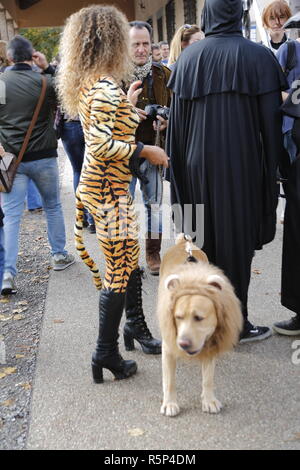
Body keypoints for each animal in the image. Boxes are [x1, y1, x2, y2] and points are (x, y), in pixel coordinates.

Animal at [158, 234, 243, 414]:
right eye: (178, 317)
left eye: (199, 318)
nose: (183, 344)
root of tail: (184, 242)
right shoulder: (168, 347)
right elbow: (169, 380)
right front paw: (170, 403)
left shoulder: (210, 343)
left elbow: (208, 378)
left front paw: (209, 400)